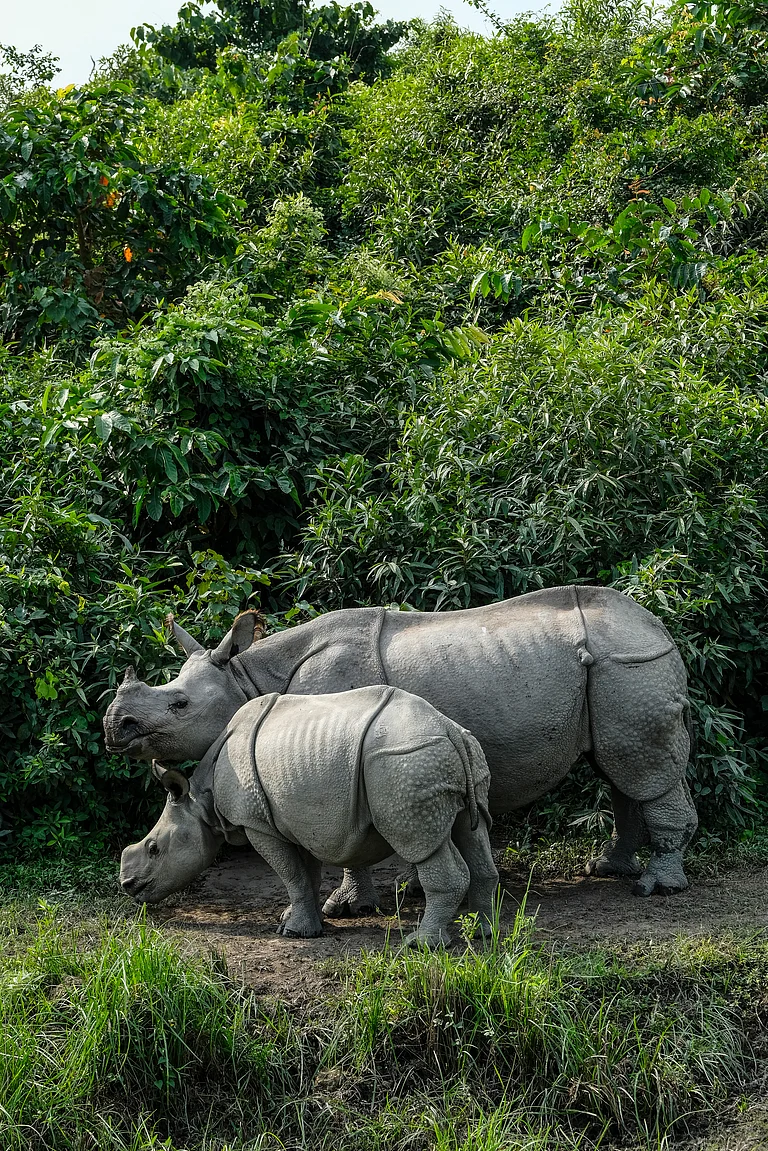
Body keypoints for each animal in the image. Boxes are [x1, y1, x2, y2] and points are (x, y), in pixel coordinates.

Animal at [105, 585, 698, 907]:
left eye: (179, 705)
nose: (116, 725)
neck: (248, 678)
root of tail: (659, 628)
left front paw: (346, 906)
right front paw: (407, 891)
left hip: (629, 665)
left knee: (641, 769)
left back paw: (656, 887)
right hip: (617, 671)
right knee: (618, 770)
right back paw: (610, 869)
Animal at [120, 686, 498, 946]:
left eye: (154, 849)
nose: (128, 887)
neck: (201, 801)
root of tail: (448, 730)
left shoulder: (258, 824)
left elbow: (291, 874)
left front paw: (294, 932)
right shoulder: (293, 816)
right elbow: (304, 875)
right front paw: (300, 921)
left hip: (404, 760)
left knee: (421, 842)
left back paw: (422, 945)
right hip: (454, 754)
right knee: (473, 832)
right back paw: (483, 932)